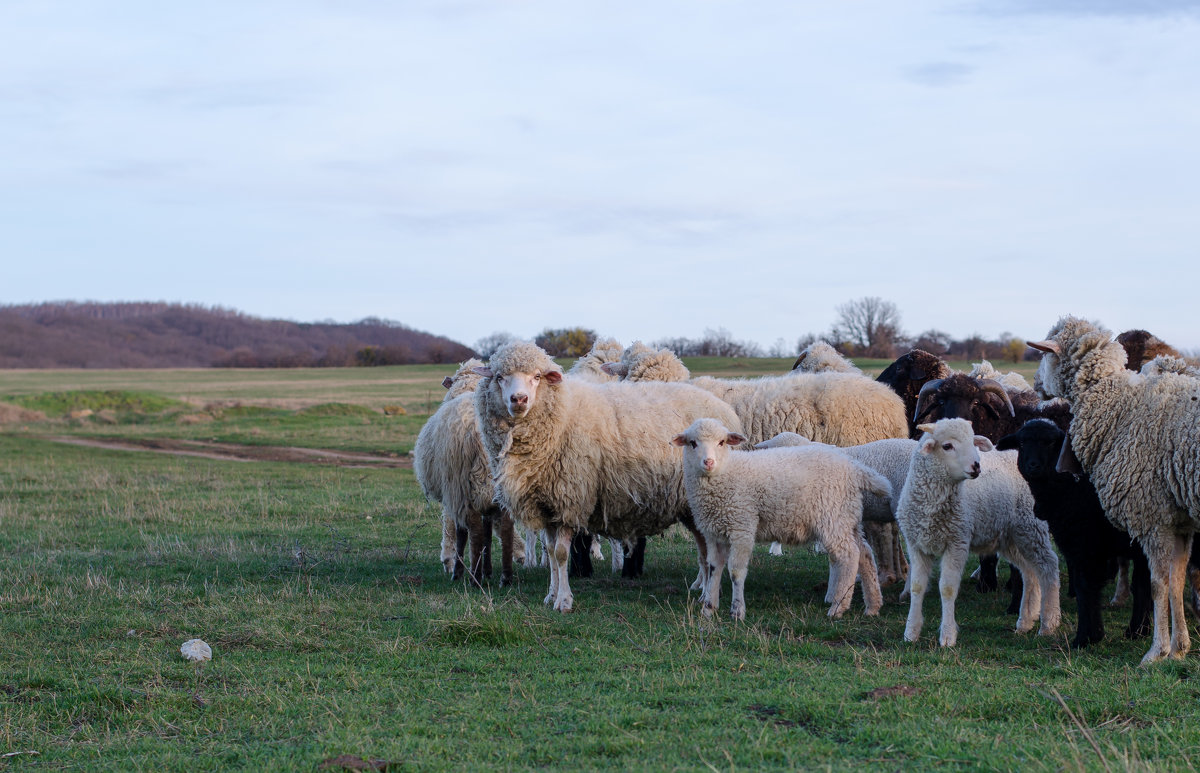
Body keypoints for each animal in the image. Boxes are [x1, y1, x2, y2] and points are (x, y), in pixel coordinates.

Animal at [475, 340, 744, 612]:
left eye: (537, 377)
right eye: (499, 377)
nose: (519, 399)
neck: (563, 413)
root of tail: (723, 407)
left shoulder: (570, 499)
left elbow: (561, 554)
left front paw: (564, 600)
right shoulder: (547, 504)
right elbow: (550, 552)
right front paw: (550, 595)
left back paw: (708, 593)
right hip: (691, 505)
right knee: (704, 548)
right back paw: (703, 590)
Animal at [676, 417, 892, 624]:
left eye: (721, 442)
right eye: (693, 443)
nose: (708, 462)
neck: (727, 471)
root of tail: (855, 469)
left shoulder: (742, 526)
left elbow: (736, 572)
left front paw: (737, 611)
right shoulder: (714, 532)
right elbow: (714, 568)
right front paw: (708, 609)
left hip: (833, 517)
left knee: (849, 555)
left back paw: (838, 607)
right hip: (848, 517)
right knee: (864, 553)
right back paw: (872, 606)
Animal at [993, 420, 1152, 648]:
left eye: (1051, 443)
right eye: (1022, 443)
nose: (1033, 465)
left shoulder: (1086, 545)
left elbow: (1086, 587)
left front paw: (1085, 638)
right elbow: (1140, 586)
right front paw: (1133, 631)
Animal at [1027, 314, 1200, 662]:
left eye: (1045, 354)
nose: (1036, 385)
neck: (1118, 404)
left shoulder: (1153, 516)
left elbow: (1158, 585)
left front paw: (1156, 652)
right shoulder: (1179, 520)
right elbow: (1175, 582)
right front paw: (1179, 649)